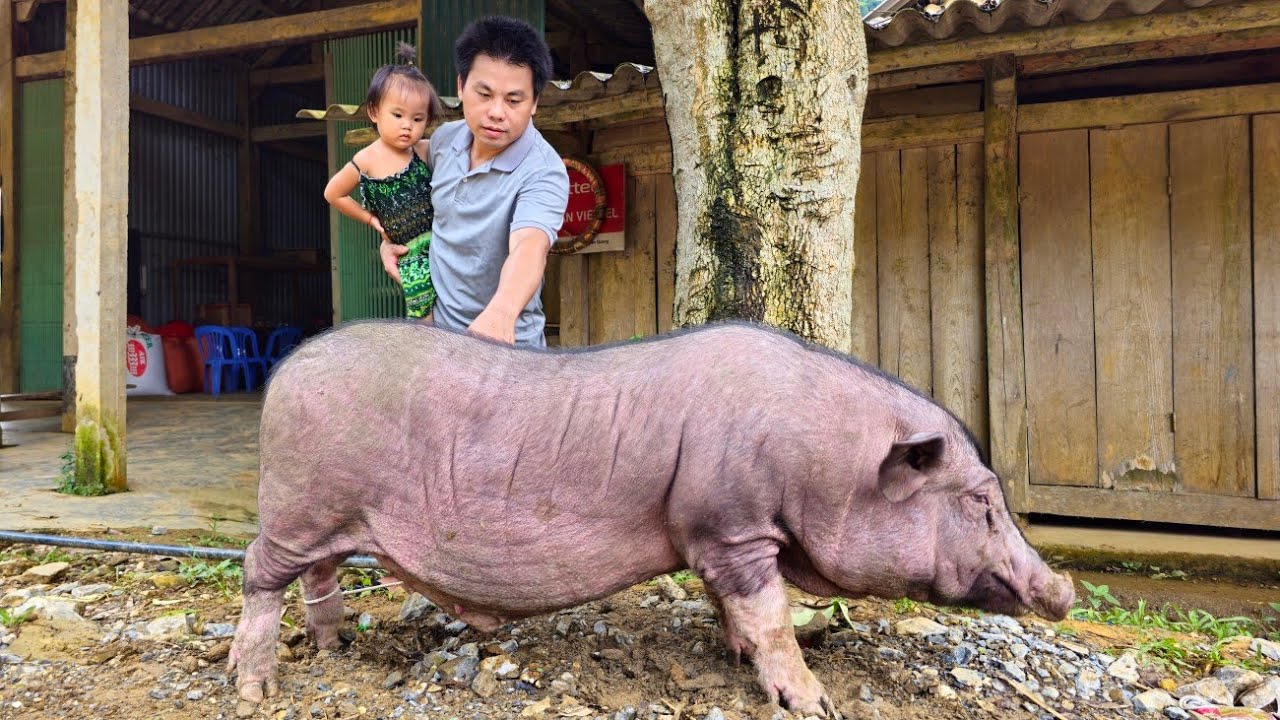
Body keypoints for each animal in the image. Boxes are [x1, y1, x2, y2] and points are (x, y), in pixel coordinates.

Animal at [229, 321, 1074, 716]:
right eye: (981, 501)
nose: (1063, 592)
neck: (823, 462)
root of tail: (285, 372)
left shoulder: (716, 538)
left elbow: (739, 611)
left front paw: (738, 656)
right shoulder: (733, 522)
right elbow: (771, 614)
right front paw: (815, 702)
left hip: (326, 518)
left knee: (320, 575)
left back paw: (334, 647)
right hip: (297, 504)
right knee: (259, 577)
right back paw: (253, 688)